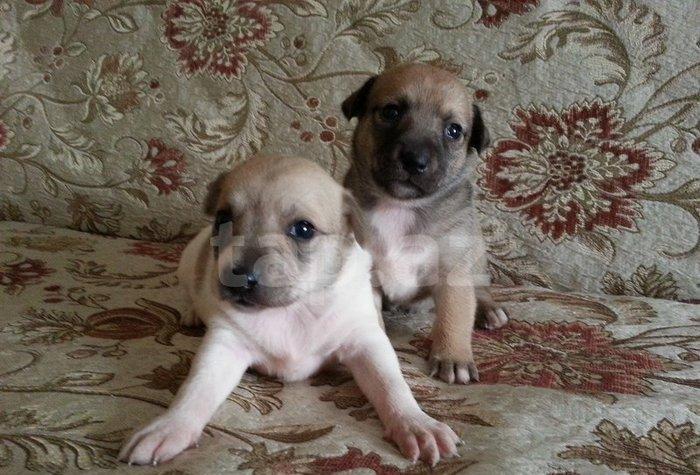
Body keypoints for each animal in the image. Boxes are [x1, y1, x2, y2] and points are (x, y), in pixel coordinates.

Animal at [119, 155, 460, 466]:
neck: (294, 307)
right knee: (189, 290)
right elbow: (196, 389)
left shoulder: (365, 342)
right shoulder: (225, 345)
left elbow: (391, 385)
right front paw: (168, 427)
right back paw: (191, 313)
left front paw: (416, 424)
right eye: (223, 219)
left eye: (304, 229)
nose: (238, 277)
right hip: (189, 260)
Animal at [342, 63, 509, 385]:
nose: (414, 160)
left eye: (453, 131)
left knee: (479, 289)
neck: (400, 206)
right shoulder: (364, 272)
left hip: (476, 254)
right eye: (391, 112)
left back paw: (488, 310)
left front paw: (453, 357)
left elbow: (454, 316)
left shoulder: (453, 271)